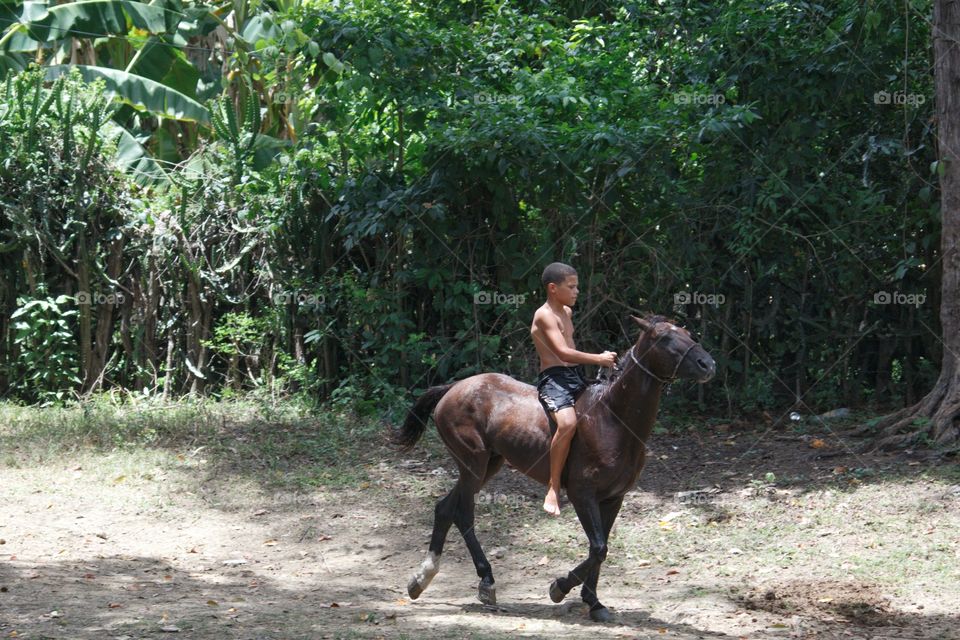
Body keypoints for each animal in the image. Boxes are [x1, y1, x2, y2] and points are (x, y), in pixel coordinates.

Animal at [391, 315, 716, 622]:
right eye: (663, 338)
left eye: (688, 333)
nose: (708, 363)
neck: (613, 419)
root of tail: (454, 387)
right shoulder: (582, 494)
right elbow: (599, 548)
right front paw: (559, 587)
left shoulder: (613, 498)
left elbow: (600, 547)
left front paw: (594, 602)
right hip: (473, 463)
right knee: (463, 514)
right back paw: (485, 582)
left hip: (487, 465)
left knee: (446, 508)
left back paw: (422, 579)